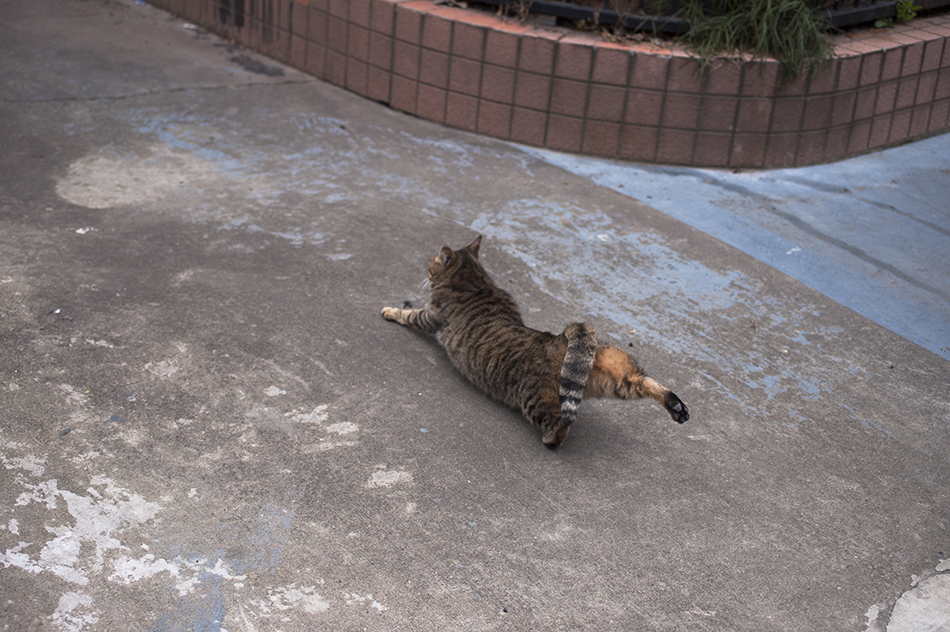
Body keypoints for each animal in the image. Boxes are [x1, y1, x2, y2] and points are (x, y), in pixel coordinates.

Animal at [382, 237, 692, 450]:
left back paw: (551, 440)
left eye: (431, 263)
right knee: (644, 381)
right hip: (617, 376)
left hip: (535, 400)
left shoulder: (431, 315)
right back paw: (677, 407)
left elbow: (410, 315)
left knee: (562, 423)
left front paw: (391, 310)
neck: (476, 281)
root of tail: (564, 336)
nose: (426, 266)